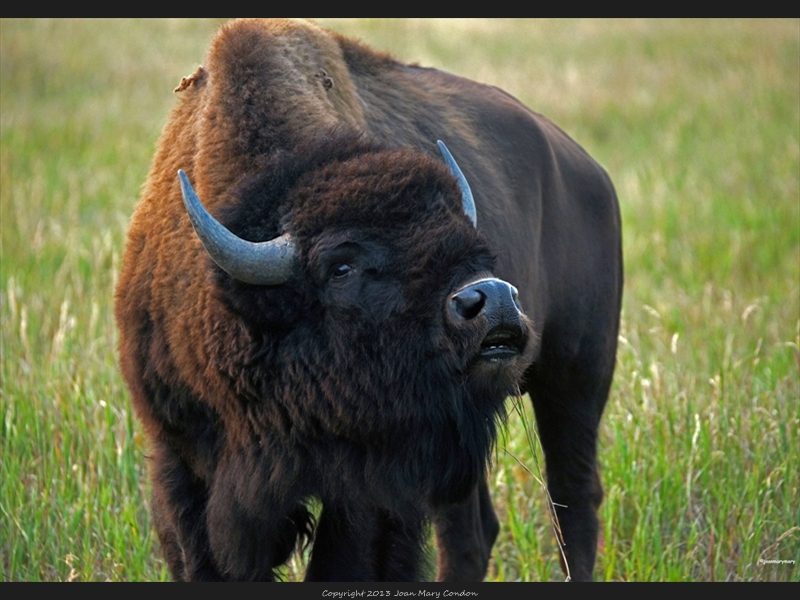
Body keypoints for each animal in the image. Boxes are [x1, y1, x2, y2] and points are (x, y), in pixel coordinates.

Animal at [114, 17, 624, 580]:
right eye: (341, 267)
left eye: (472, 242)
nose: (492, 300)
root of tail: (589, 172)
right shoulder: (178, 457)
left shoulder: (368, 489)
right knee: (473, 529)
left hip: (576, 379)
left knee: (572, 500)